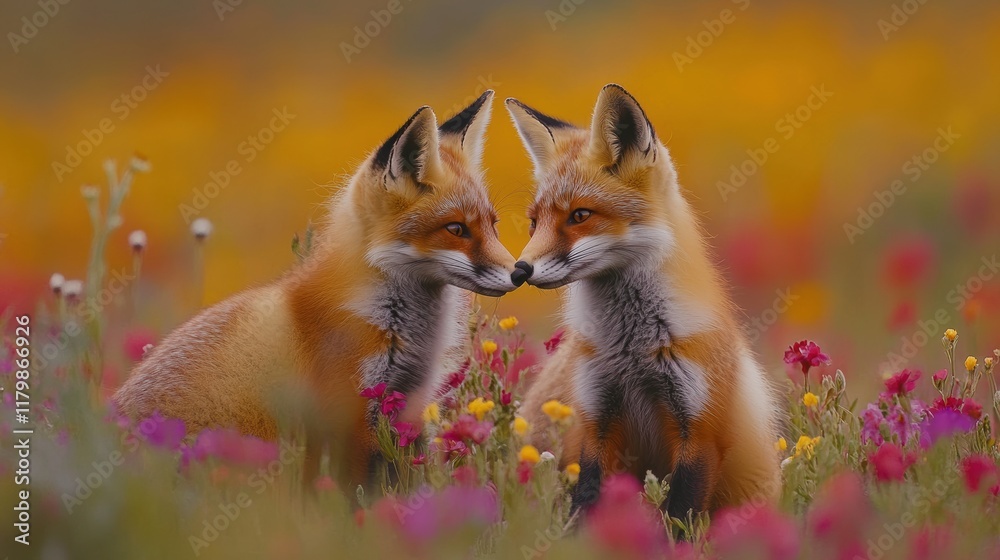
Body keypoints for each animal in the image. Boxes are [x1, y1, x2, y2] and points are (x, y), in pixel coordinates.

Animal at [114, 91, 518, 489]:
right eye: (456, 229)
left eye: (493, 225)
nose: (519, 273)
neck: (392, 324)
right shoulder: (347, 419)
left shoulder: (408, 406)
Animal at [505, 84, 781, 519]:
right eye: (534, 223)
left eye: (580, 215)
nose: (519, 271)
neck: (631, 351)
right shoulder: (597, 417)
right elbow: (586, 500)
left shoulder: (699, 430)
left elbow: (679, 514)